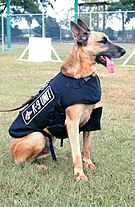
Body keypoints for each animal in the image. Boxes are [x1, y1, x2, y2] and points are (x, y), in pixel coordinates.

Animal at [8, 19, 126, 181]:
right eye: (103, 41)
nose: (124, 51)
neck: (82, 77)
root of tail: (11, 149)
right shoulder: (72, 123)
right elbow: (76, 152)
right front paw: (79, 174)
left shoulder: (90, 120)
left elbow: (86, 147)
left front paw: (88, 163)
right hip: (38, 137)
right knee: (22, 162)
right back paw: (41, 166)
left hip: (50, 139)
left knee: (39, 156)